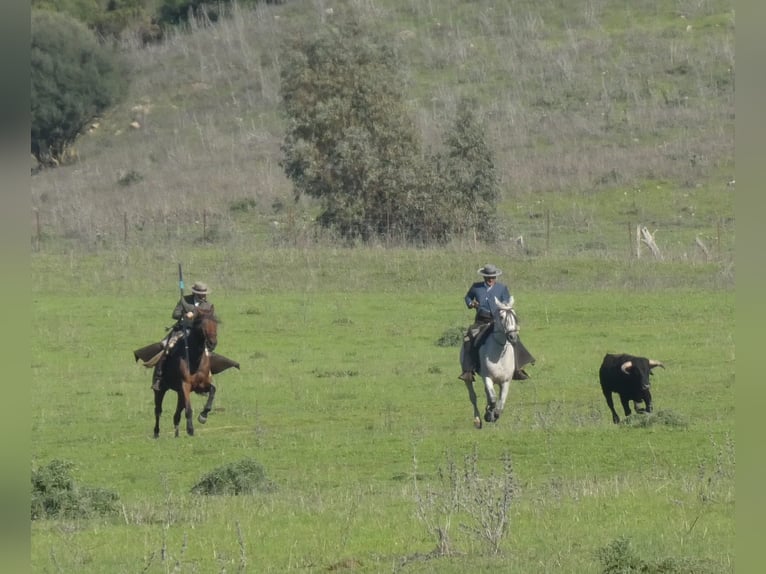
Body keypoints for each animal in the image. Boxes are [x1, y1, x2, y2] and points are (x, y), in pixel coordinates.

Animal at [462, 300, 520, 430]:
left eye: (514, 316)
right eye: (502, 317)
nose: (513, 337)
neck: (498, 355)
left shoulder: (506, 381)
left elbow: (501, 403)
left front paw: (494, 414)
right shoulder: (487, 377)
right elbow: (493, 399)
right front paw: (488, 415)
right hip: (468, 377)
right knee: (473, 397)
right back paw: (477, 420)